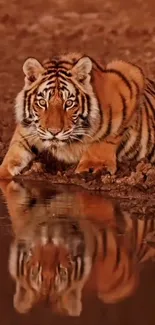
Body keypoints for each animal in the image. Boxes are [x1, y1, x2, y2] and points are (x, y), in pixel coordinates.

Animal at [0, 52, 155, 178]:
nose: (54, 132)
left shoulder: (131, 76)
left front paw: (94, 166)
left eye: (69, 103)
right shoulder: (26, 132)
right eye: (42, 102)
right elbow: (12, 155)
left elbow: (109, 135)